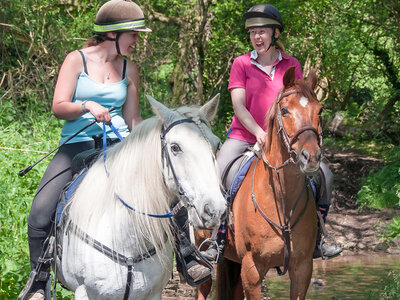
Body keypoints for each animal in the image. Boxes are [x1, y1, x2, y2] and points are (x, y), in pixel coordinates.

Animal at [54, 95, 227, 298]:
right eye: (175, 147)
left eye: (216, 144)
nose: (215, 210)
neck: (125, 239)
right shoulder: (85, 293)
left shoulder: (153, 294)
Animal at [208, 67, 324, 300]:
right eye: (285, 110)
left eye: (320, 111)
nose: (311, 157)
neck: (281, 198)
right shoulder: (252, 269)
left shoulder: (302, 269)